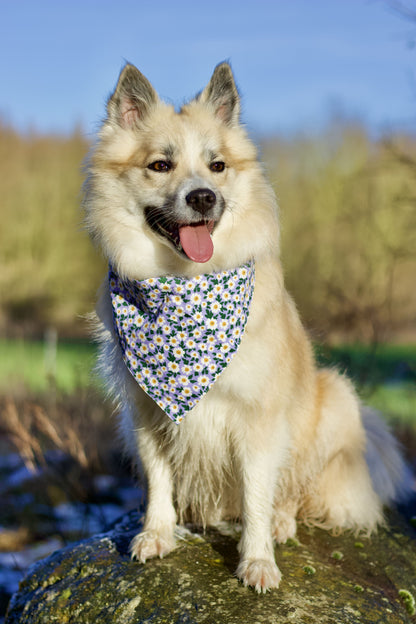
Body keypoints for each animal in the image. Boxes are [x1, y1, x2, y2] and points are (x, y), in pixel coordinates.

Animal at [83, 61, 410, 592]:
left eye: (217, 166)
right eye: (160, 165)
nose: (203, 197)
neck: (185, 282)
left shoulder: (257, 420)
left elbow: (257, 495)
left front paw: (257, 560)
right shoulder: (147, 413)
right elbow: (159, 480)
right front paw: (157, 533)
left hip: (337, 401)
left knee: (293, 493)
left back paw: (281, 522)